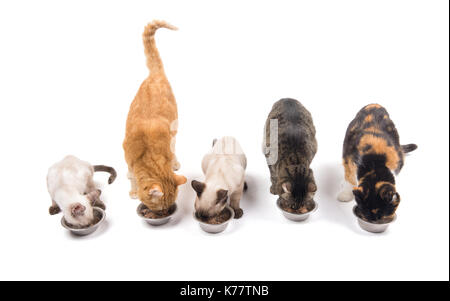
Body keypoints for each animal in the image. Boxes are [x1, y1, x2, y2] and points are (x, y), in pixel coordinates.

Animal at [123, 20, 186, 211]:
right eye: (160, 208)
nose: (165, 213)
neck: (146, 153)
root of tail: (156, 75)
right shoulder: (128, 157)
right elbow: (132, 176)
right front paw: (133, 190)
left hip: (174, 128)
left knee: (174, 145)